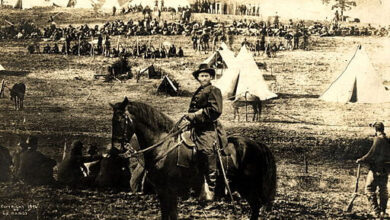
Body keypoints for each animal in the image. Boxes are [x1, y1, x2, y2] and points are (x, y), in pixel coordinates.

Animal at [110, 98, 278, 220]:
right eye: (112, 121)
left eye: (121, 120)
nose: (116, 148)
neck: (163, 146)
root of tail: (258, 144)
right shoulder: (163, 193)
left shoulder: (169, 192)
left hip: (248, 187)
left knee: (255, 207)